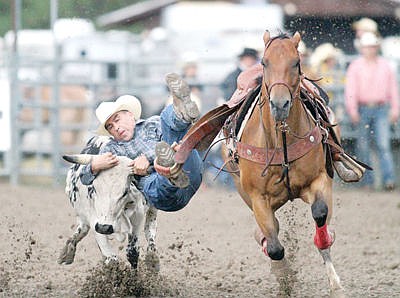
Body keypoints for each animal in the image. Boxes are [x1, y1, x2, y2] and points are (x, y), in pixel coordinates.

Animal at [222, 32, 344, 294]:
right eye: (264, 62)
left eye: (296, 62)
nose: (279, 105)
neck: (282, 140)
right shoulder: (258, 199)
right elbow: (276, 248)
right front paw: (285, 278)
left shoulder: (319, 180)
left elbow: (320, 213)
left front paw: (334, 281)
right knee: (268, 233)